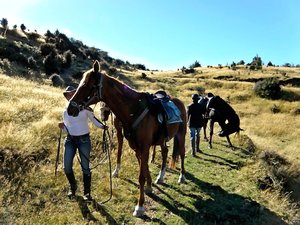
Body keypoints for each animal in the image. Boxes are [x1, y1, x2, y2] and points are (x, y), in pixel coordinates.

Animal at [67, 60, 186, 217]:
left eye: (88, 85)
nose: (70, 109)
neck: (133, 110)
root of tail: (179, 102)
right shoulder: (136, 147)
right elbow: (144, 167)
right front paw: (149, 187)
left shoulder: (145, 146)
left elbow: (141, 176)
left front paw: (140, 206)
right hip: (162, 140)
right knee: (166, 151)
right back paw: (160, 177)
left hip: (182, 134)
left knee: (182, 153)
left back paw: (181, 177)